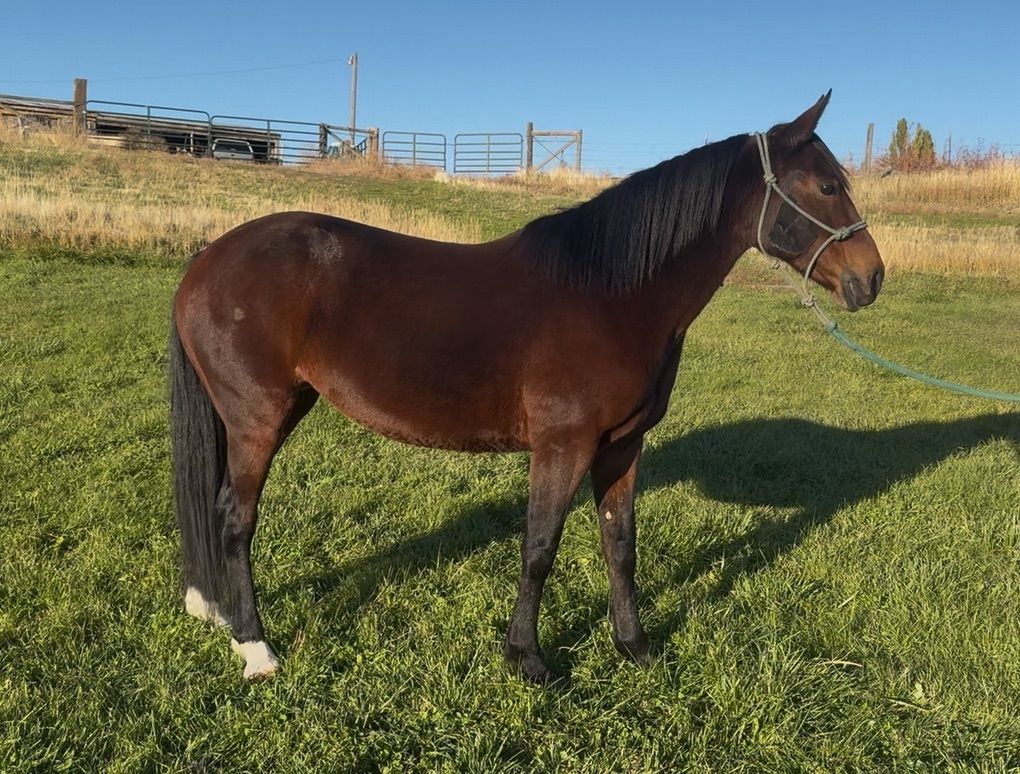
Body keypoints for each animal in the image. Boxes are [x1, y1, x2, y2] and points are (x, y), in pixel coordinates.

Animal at [169, 92, 884, 683]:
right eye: (826, 185)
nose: (872, 278)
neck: (612, 295)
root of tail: (207, 261)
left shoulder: (621, 447)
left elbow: (620, 547)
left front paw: (634, 647)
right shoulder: (563, 446)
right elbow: (539, 548)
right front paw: (528, 659)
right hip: (259, 418)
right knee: (235, 518)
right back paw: (256, 649)